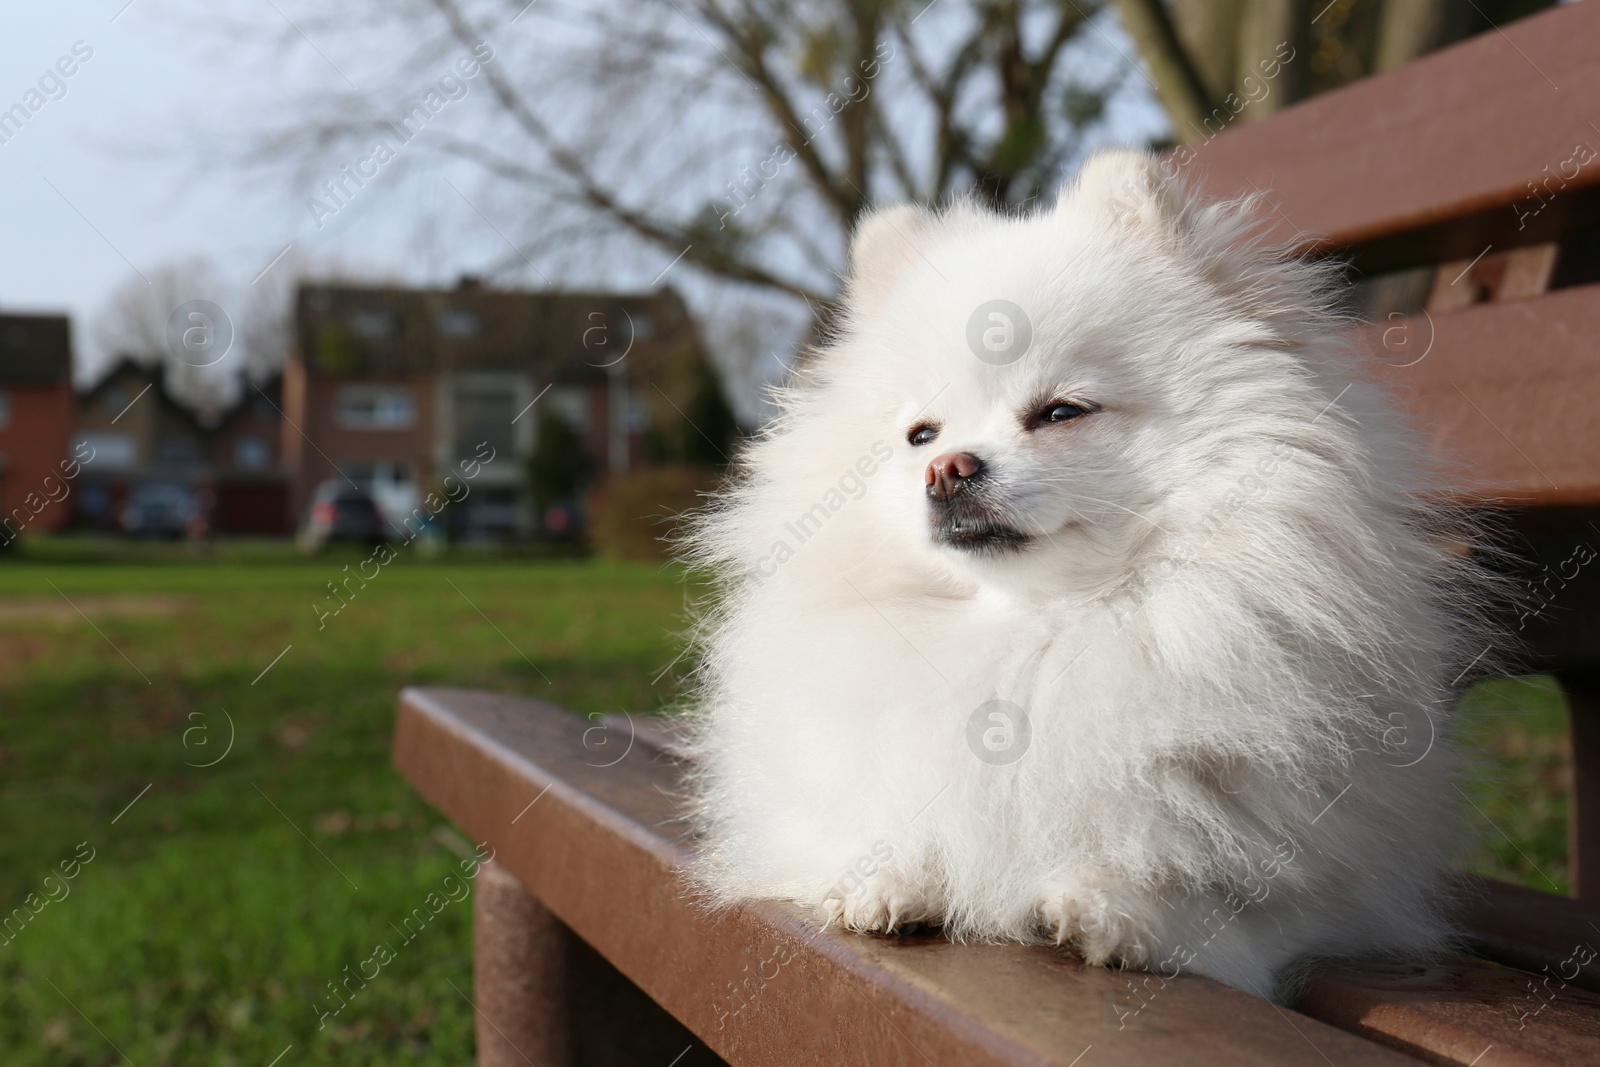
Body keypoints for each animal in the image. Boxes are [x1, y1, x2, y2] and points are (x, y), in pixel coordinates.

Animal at [681, 147, 1491, 1004]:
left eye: (1062, 412)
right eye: (920, 434)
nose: (947, 467)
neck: (1040, 627)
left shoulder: (1327, 880)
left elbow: (1223, 895)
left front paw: (1116, 909)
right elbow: (872, 817)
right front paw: (886, 874)